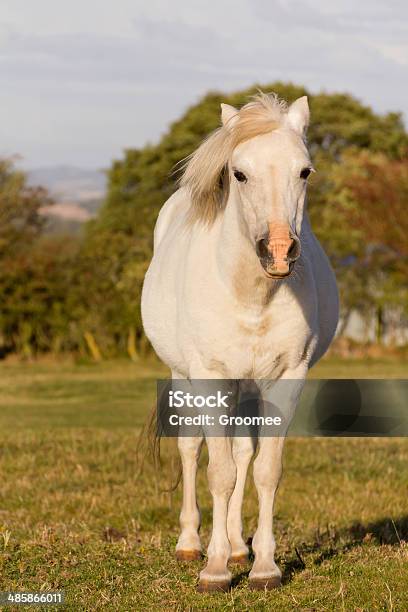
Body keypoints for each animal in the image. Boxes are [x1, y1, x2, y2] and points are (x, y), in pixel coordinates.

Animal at [141, 92, 338, 592]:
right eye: (239, 174)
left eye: (304, 171)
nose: (279, 252)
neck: (250, 293)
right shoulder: (211, 378)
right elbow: (219, 471)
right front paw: (213, 570)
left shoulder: (288, 377)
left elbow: (264, 470)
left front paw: (263, 566)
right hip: (186, 378)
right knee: (192, 450)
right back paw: (192, 544)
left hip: (247, 386)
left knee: (243, 453)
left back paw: (236, 546)